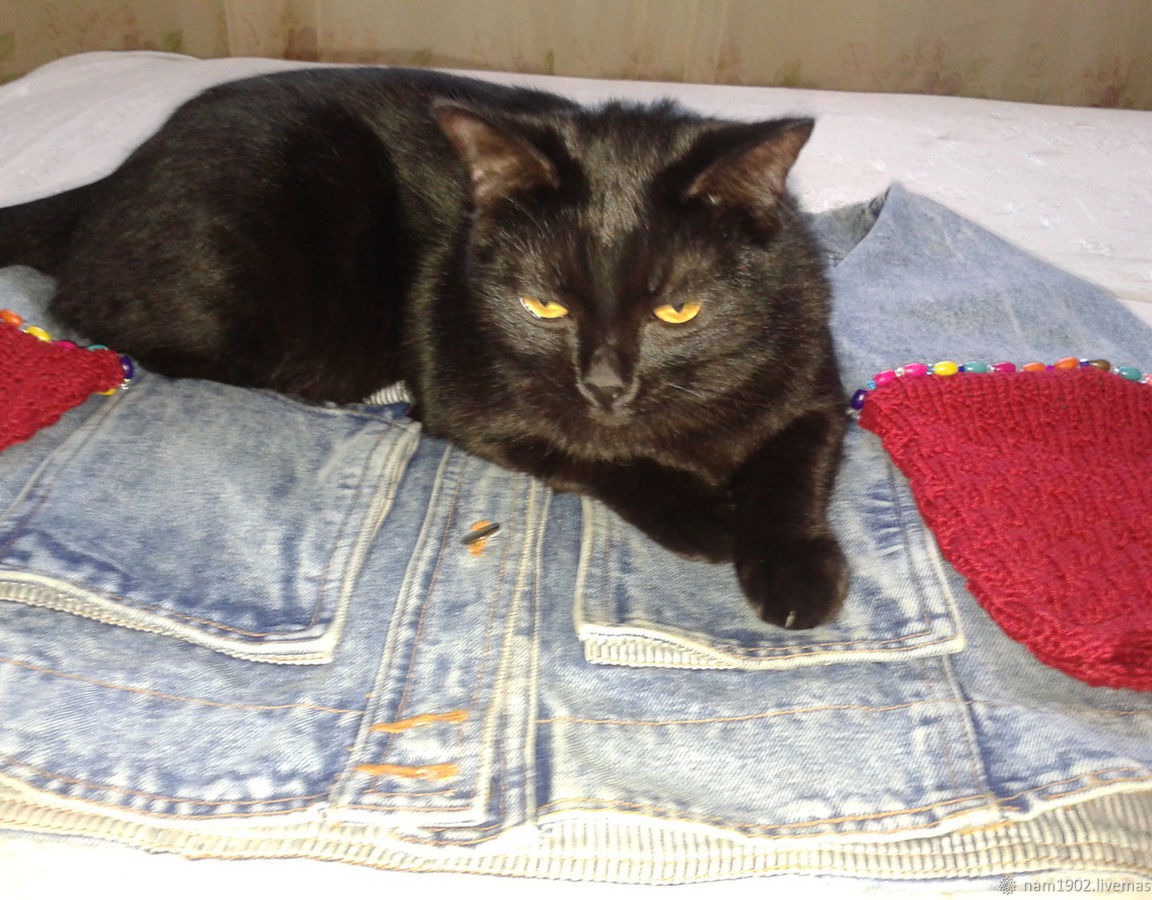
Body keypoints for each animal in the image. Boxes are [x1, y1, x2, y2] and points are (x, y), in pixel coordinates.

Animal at [0, 67, 848, 629]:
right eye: (545, 305)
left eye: (677, 309)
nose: (605, 382)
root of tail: (111, 179)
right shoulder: (466, 393)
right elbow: (595, 454)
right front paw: (705, 514)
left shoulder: (812, 380)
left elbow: (794, 468)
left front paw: (795, 569)